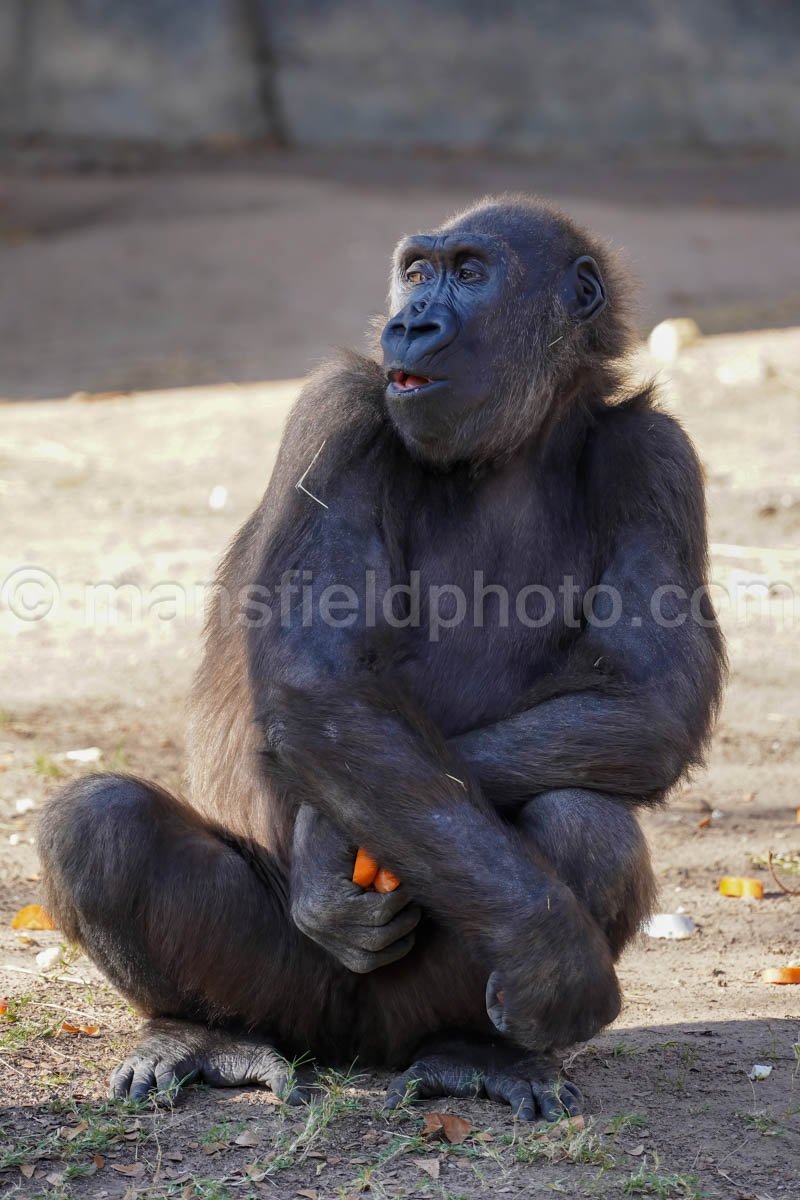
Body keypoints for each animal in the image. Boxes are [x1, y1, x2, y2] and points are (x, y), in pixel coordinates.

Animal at [38, 192, 724, 1118]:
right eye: (417, 271)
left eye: (470, 272)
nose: (412, 321)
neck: (513, 448)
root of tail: (349, 1052)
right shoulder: (342, 416)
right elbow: (321, 684)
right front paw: (548, 945)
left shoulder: (660, 459)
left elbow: (645, 700)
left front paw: (329, 840)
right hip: (284, 992)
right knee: (100, 826)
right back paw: (200, 1032)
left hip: (407, 1013)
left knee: (586, 823)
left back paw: (480, 1053)